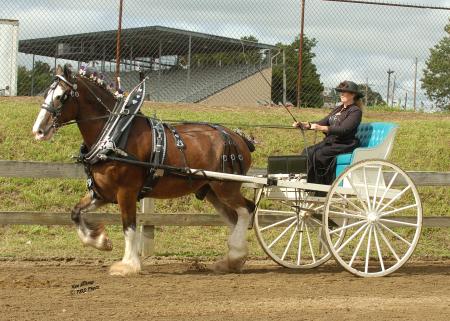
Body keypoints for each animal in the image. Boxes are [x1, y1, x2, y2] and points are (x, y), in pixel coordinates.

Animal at [31, 64, 255, 276]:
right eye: (46, 94)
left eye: (62, 96)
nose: (38, 131)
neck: (116, 134)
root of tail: (238, 137)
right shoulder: (101, 193)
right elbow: (76, 213)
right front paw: (102, 242)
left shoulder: (126, 191)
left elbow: (128, 226)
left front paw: (128, 265)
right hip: (211, 191)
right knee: (234, 218)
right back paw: (232, 260)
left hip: (226, 187)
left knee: (247, 210)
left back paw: (236, 253)